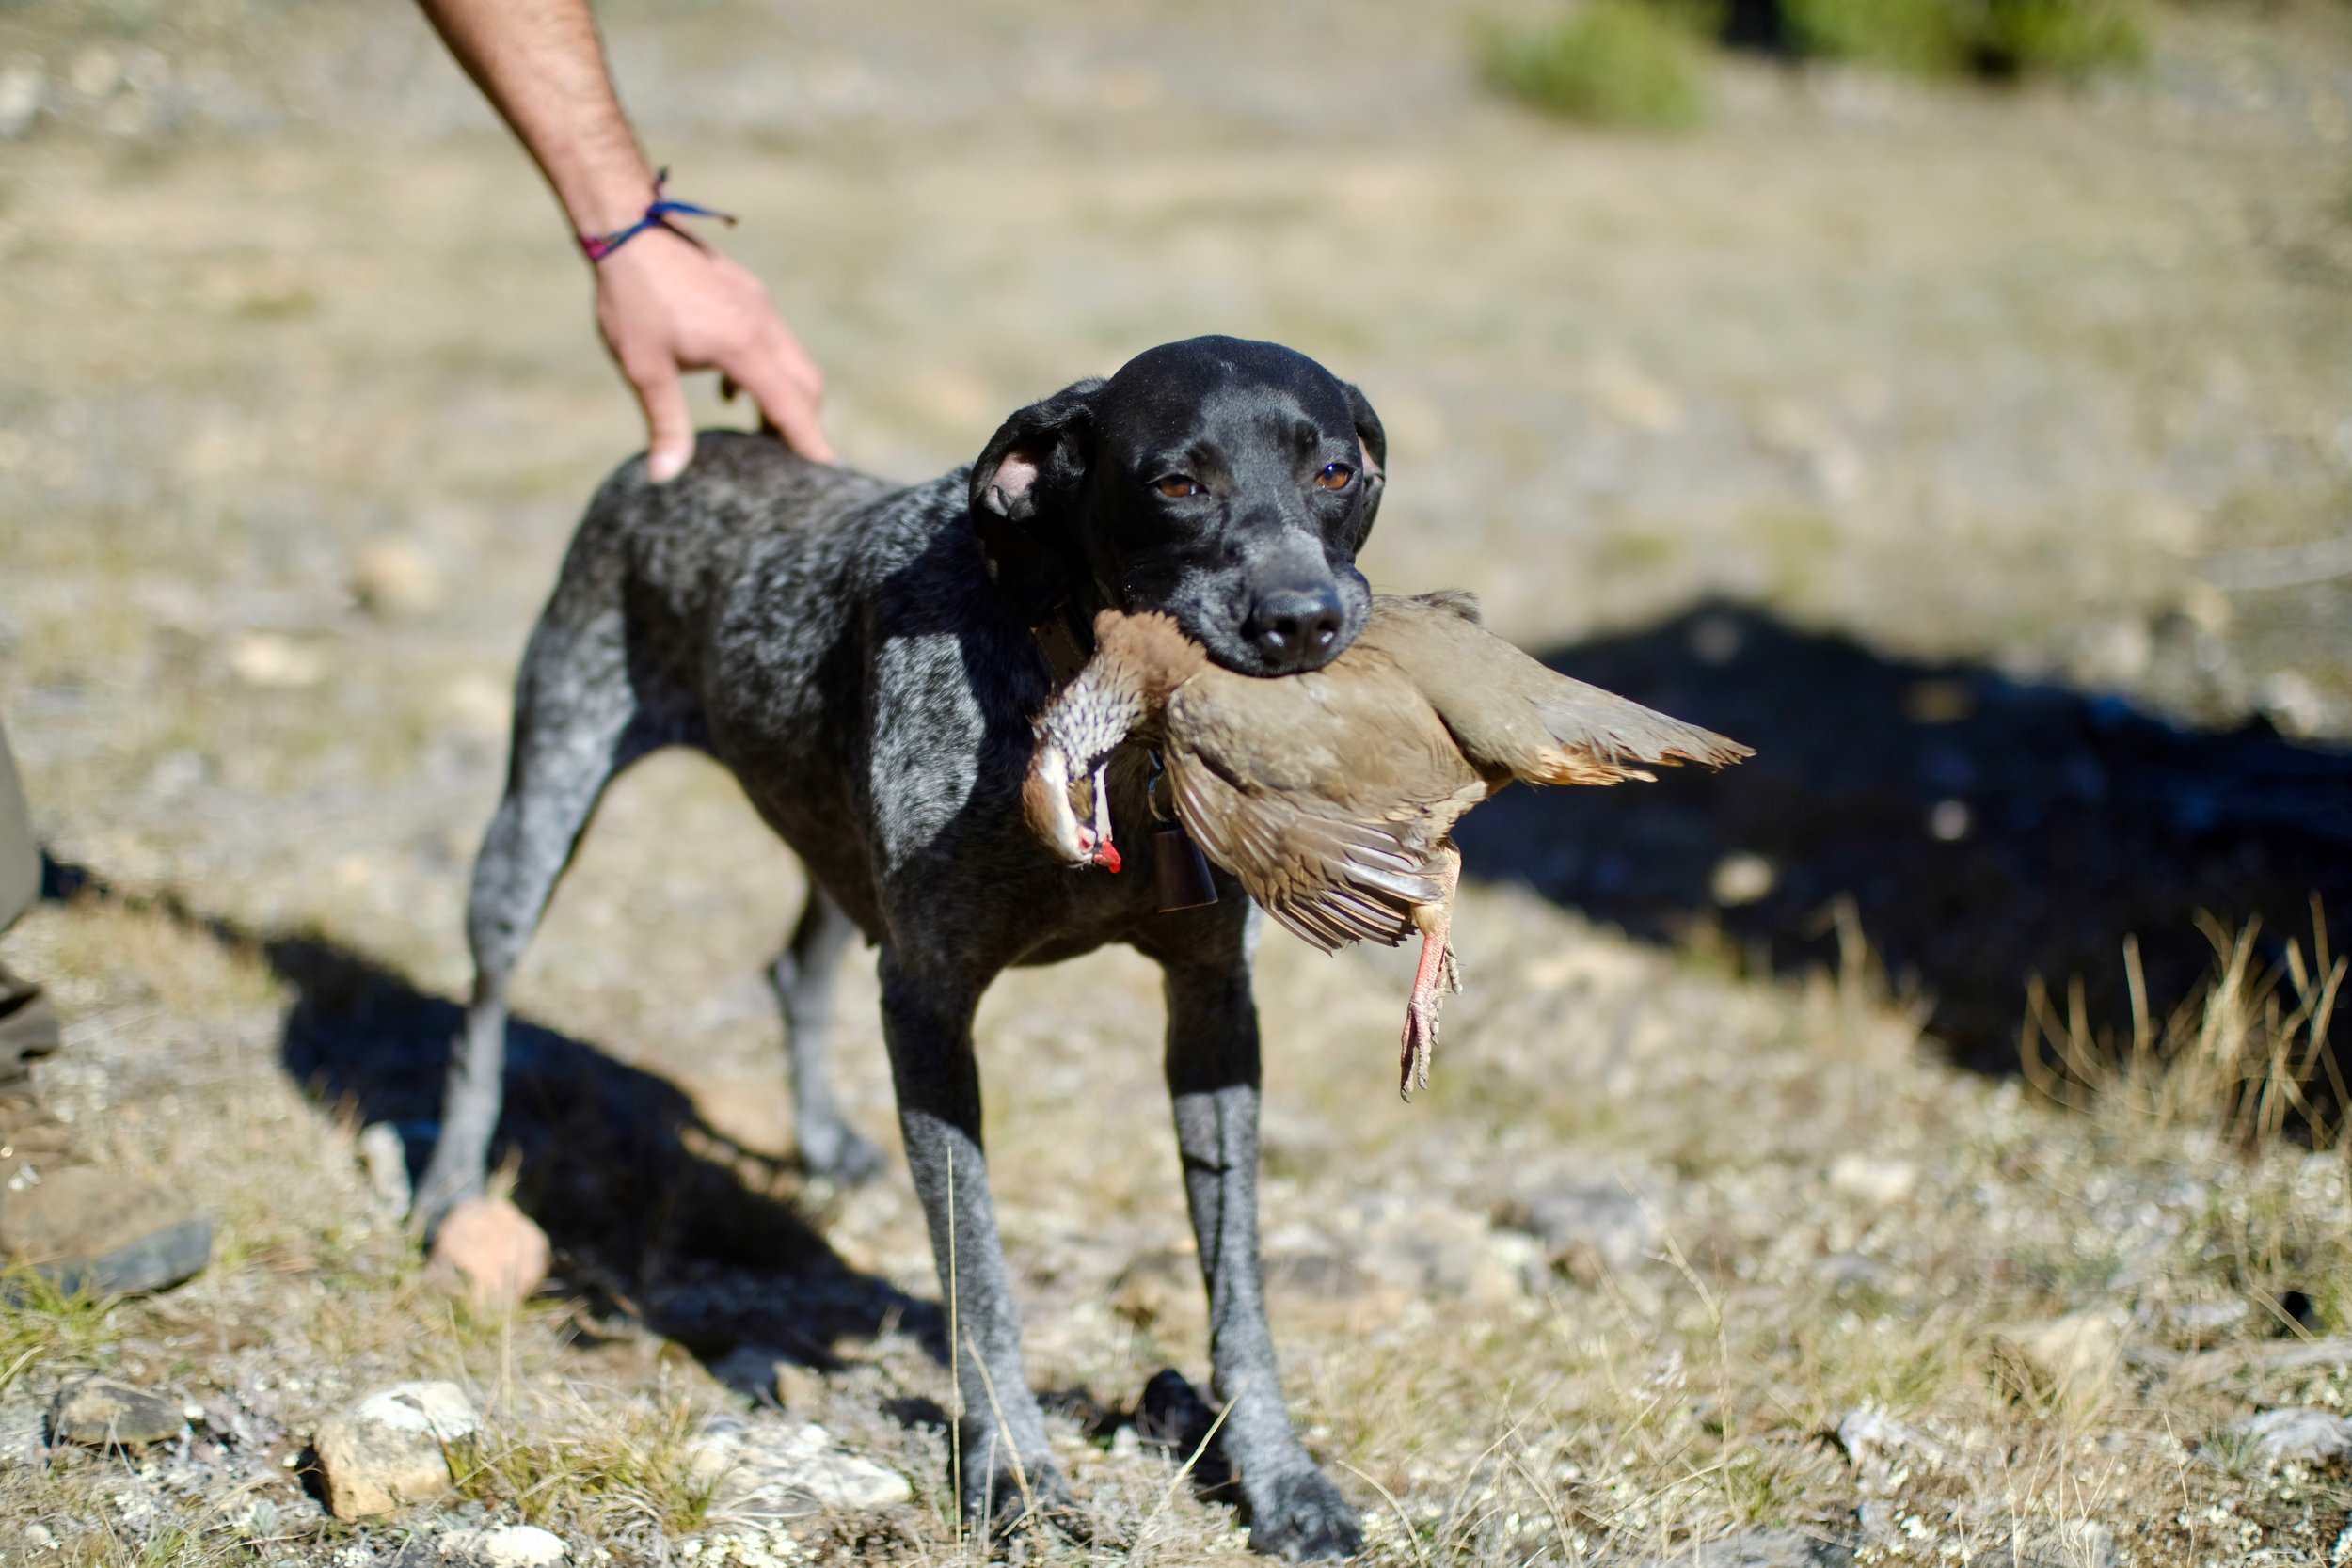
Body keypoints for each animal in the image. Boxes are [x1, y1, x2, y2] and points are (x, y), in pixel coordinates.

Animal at [416, 333, 1383, 1560]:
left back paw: (822, 1139)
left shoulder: (1212, 1000)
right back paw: (448, 1193)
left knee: (795, 967)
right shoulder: (930, 1006)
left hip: (837, 846)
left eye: (1335, 471)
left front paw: (1280, 1475)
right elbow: (977, 1271)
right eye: (1176, 483)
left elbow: (1238, 1283)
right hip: (545, 798)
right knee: (482, 1011)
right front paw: (1016, 1471)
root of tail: (697, 447)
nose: (1302, 617)